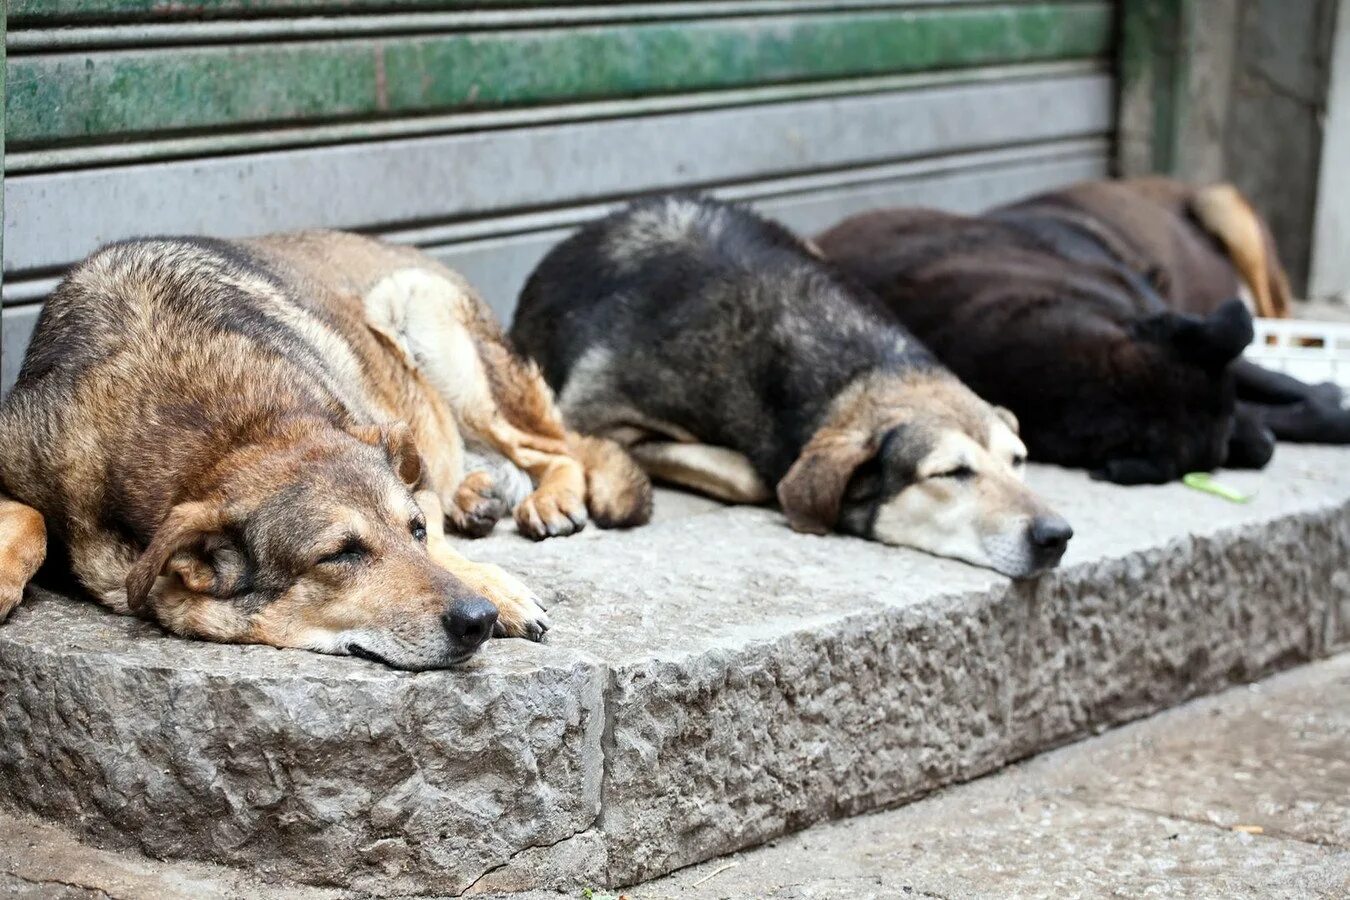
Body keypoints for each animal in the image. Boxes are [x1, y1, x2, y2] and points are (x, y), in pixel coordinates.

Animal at [0, 230, 653, 669]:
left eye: (412, 532)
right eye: (340, 555)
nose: (480, 620)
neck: (227, 430)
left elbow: (445, 544)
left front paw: (496, 588)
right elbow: (30, 516)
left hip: (423, 319)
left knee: (557, 446)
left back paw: (548, 499)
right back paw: (479, 495)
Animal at [510, 194, 1069, 580]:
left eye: (1019, 460)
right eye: (951, 473)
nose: (1058, 536)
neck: (858, 368)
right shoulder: (587, 408)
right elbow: (751, 478)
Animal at [815, 176, 1344, 485]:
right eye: (1218, 452)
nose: (1266, 445)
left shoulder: (1167, 318)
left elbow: (1284, 384)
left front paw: (1324, 398)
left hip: (1222, 208)